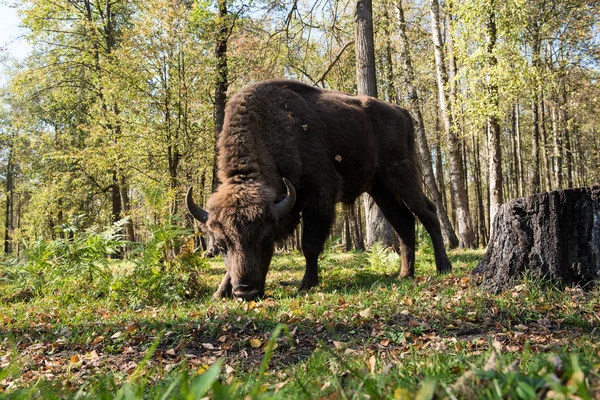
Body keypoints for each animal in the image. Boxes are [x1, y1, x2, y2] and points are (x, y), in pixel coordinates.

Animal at [188, 79, 450, 300]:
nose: (246, 292)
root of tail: (402, 112)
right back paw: (405, 274)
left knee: (427, 212)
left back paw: (443, 267)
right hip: (380, 189)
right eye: (222, 245)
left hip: (402, 175)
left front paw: (306, 284)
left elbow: (310, 244)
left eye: (266, 240)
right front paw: (220, 293)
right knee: (403, 221)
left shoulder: (318, 198)